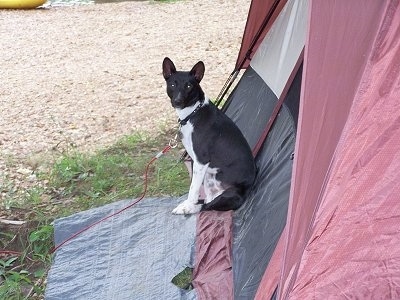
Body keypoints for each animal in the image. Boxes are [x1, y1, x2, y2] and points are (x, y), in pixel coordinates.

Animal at [163, 56, 255, 213]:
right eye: (173, 84)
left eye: (189, 86)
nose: (177, 101)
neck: (193, 114)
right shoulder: (196, 161)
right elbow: (194, 187)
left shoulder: (201, 160)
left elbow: (193, 189)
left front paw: (188, 205)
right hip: (209, 178)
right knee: (207, 200)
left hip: (230, 194)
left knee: (206, 206)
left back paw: (187, 208)